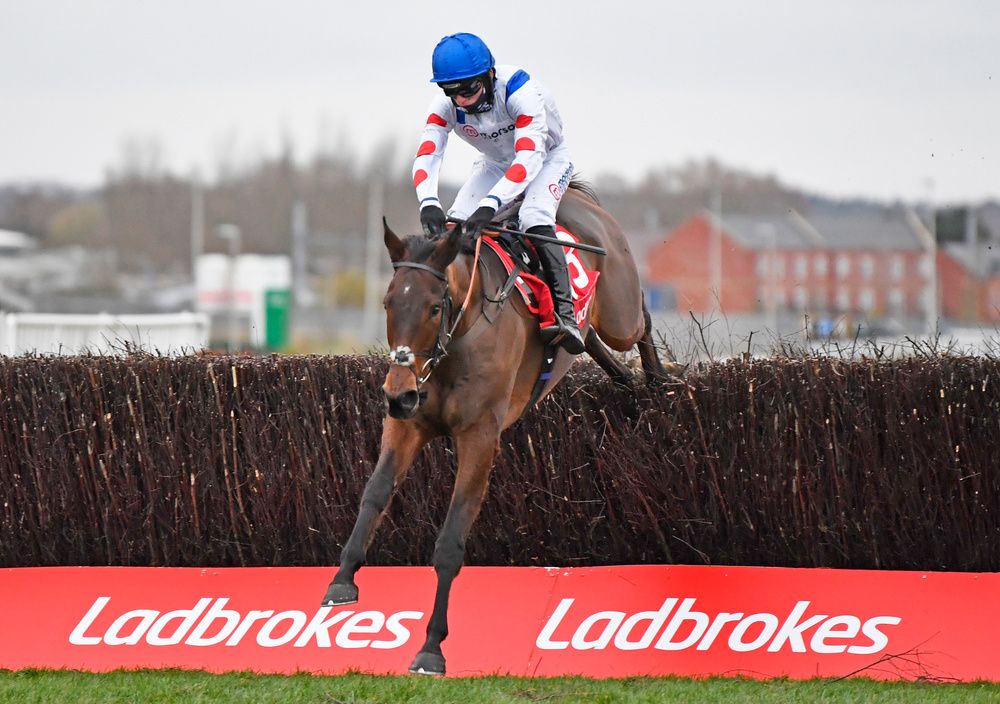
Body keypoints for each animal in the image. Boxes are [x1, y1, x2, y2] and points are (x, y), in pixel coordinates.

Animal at [320, 183, 664, 676]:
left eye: (433, 307)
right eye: (387, 303)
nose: (396, 392)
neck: (457, 338)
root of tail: (579, 197)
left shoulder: (480, 436)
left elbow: (450, 540)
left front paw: (431, 647)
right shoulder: (408, 424)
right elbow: (375, 493)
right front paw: (342, 581)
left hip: (619, 309)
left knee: (640, 322)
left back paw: (659, 380)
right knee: (593, 343)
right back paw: (626, 380)